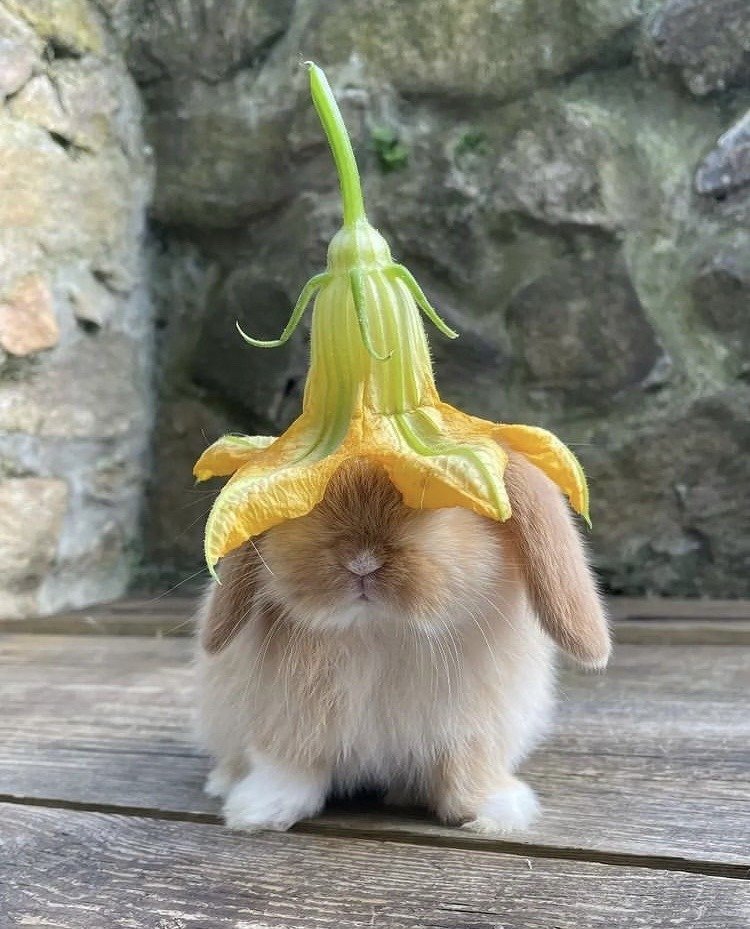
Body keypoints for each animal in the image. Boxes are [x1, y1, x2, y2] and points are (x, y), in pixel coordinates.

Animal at [195, 451, 610, 834]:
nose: (361, 562)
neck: (379, 632)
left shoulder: (475, 731)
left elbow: (467, 770)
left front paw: (494, 811)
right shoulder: (286, 722)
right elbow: (287, 766)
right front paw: (259, 810)